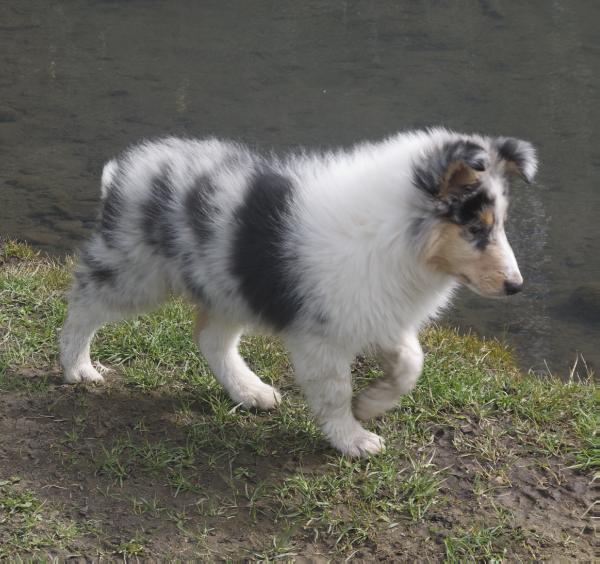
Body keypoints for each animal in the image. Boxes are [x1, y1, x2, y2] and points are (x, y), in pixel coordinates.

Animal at [59, 130, 540, 456]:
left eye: (498, 225)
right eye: (476, 229)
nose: (516, 286)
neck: (396, 234)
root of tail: (124, 172)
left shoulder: (375, 311)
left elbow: (411, 363)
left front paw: (371, 404)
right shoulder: (321, 337)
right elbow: (334, 392)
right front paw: (353, 439)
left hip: (230, 284)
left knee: (211, 339)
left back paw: (249, 391)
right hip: (135, 273)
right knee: (83, 303)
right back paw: (78, 367)